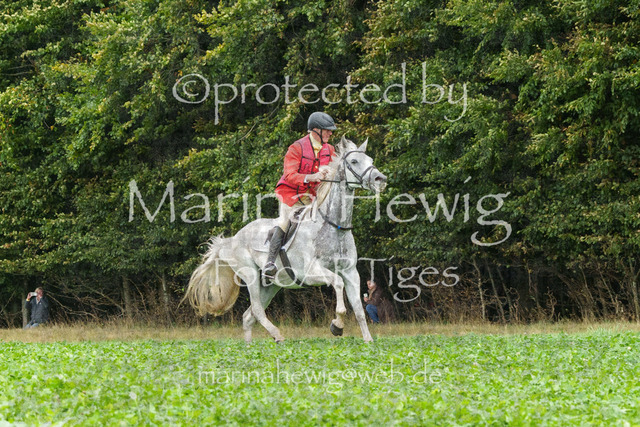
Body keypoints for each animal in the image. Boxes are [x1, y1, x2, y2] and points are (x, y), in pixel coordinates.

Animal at [183, 136, 387, 343]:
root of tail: (232, 240)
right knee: (257, 310)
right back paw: (277, 335)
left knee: (248, 316)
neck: (334, 227)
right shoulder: (310, 273)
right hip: (250, 276)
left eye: (370, 160)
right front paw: (337, 325)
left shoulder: (351, 272)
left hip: (271, 285)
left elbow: (359, 309)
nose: (380, 179)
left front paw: (368, 340)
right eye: (354, 162)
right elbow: (337, 283)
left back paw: (250, 347)